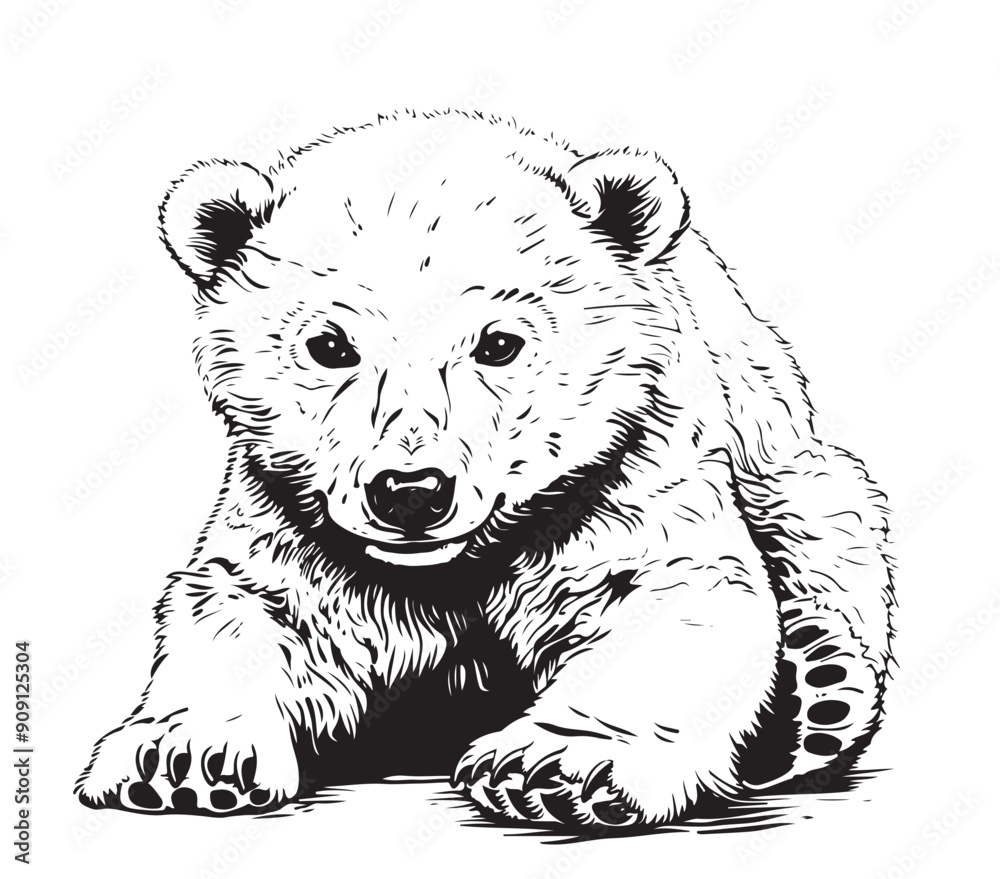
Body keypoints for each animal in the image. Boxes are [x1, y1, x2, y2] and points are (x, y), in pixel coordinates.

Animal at [76, 109, 895, 828]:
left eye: (498, 343)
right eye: (330, 345)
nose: (410, 492)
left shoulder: (627, 468)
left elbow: (677, 593)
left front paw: (553, 767)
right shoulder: (292, 513)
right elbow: (247, 603)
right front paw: (181, 756)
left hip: (797, 475)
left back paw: (821, 689)